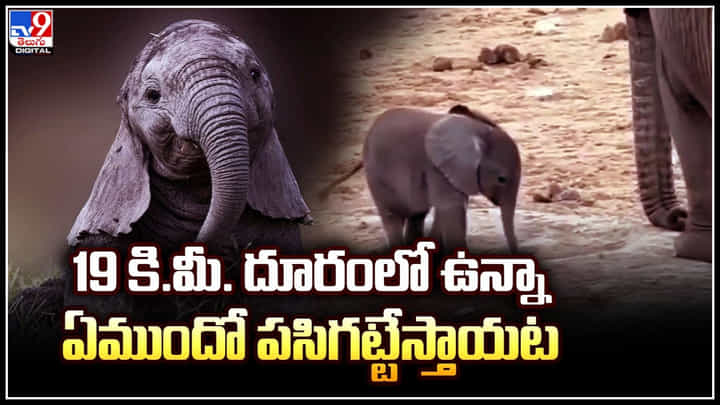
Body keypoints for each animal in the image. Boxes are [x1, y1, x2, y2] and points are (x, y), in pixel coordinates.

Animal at [321, 104, 521, 253]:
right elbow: (452, 208)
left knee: (416, 215)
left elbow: (449, 208)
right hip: (377, 176)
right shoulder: (436, 168)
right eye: (501, 179)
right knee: (392, 217)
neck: (475, 128)